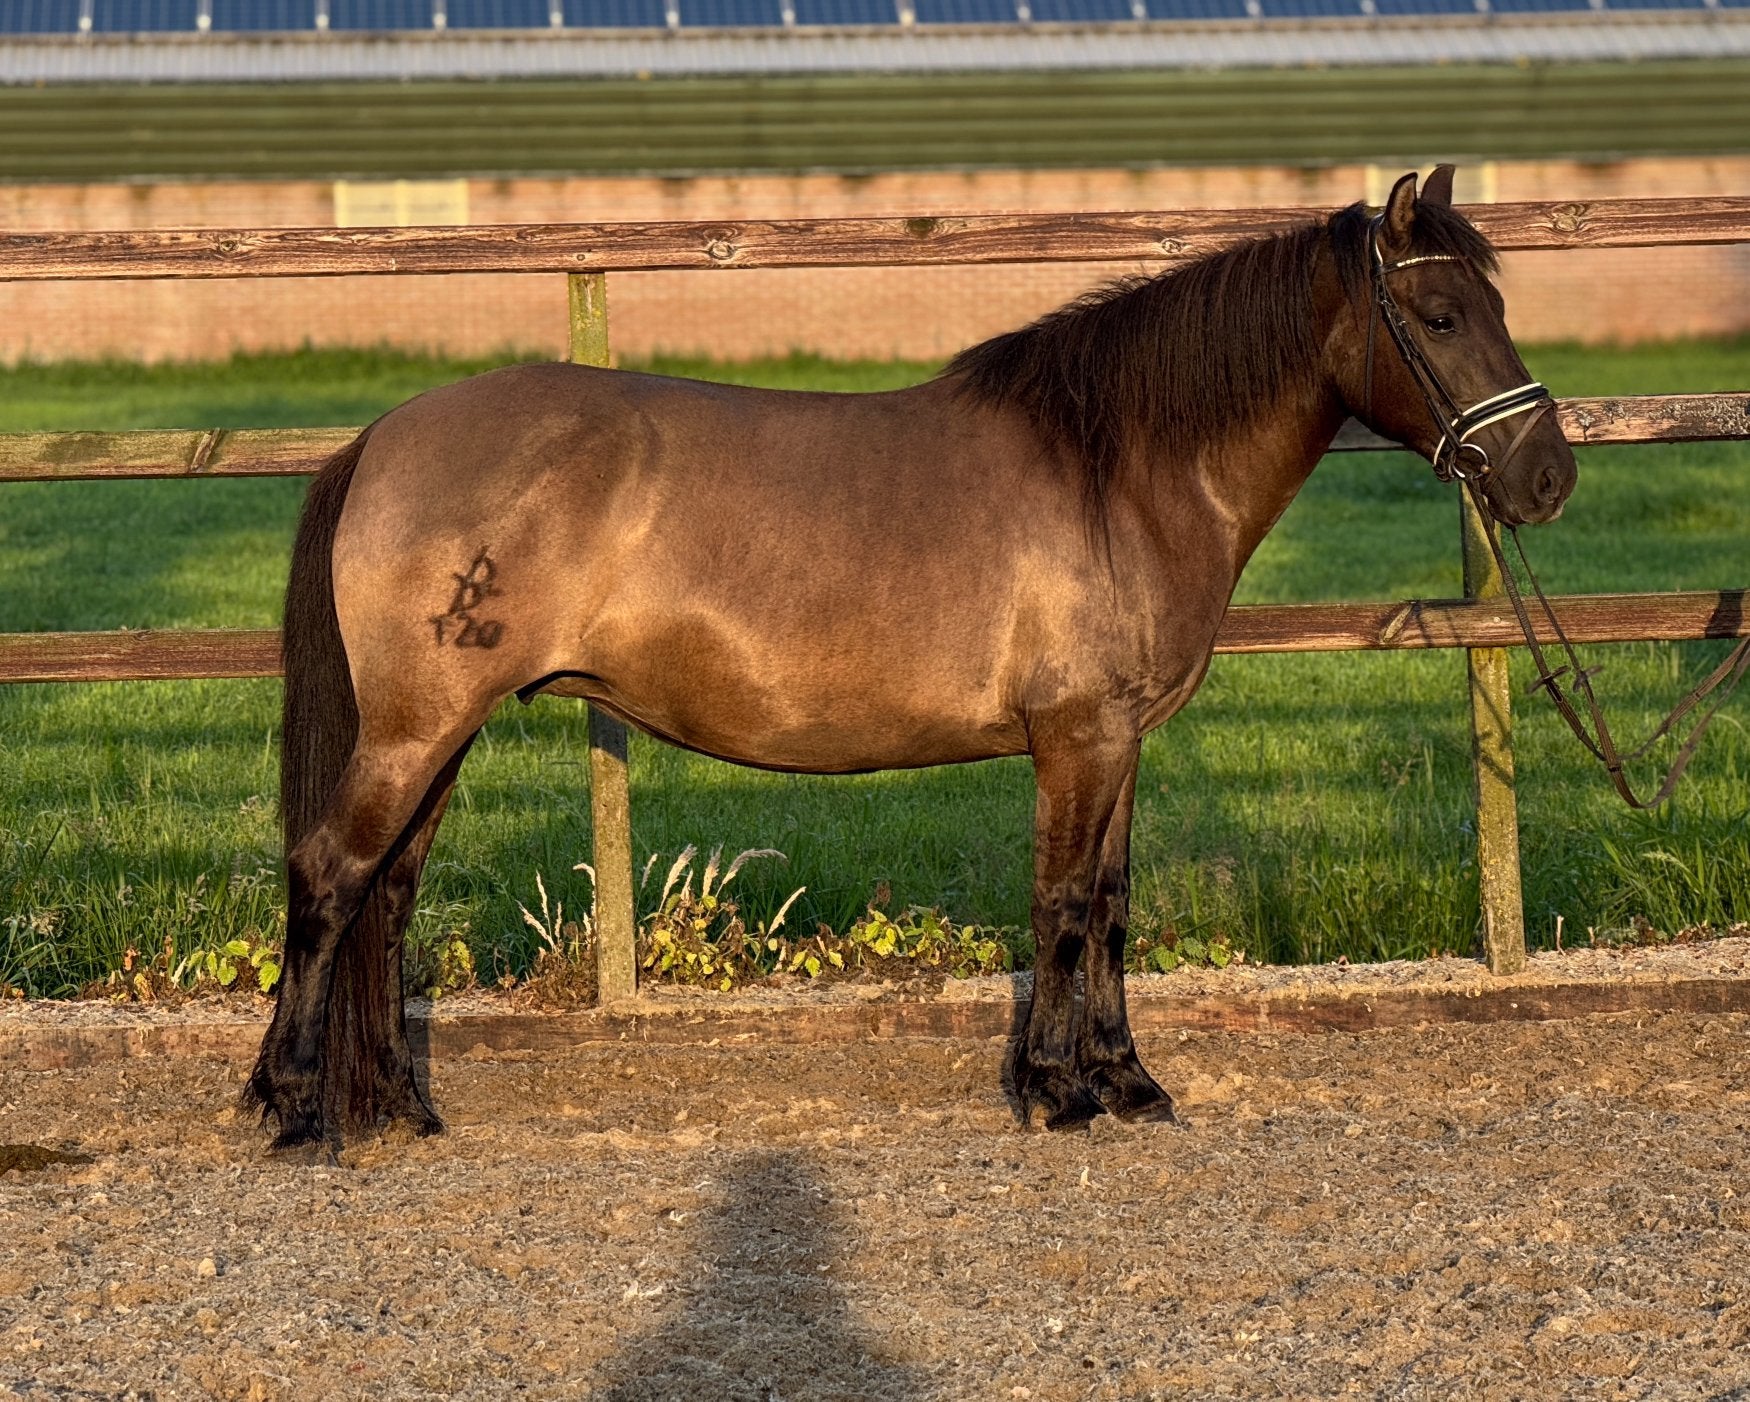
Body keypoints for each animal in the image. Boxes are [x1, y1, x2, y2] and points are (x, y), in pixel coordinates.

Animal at [244, 166, 1577, 1149]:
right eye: (1442, 316)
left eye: (1500, 307)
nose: (1546, 479)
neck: (1119, 469)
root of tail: (384, 435)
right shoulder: (1076, 737)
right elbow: (1060, 904)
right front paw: (1057, 1092)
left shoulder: (1120, 740)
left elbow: (1109, 903)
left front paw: (1127, 1081)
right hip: (419, 726)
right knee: (330, 876)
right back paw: (295, 1107)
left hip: (443, 731)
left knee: (387, 893)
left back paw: (398, 1106)